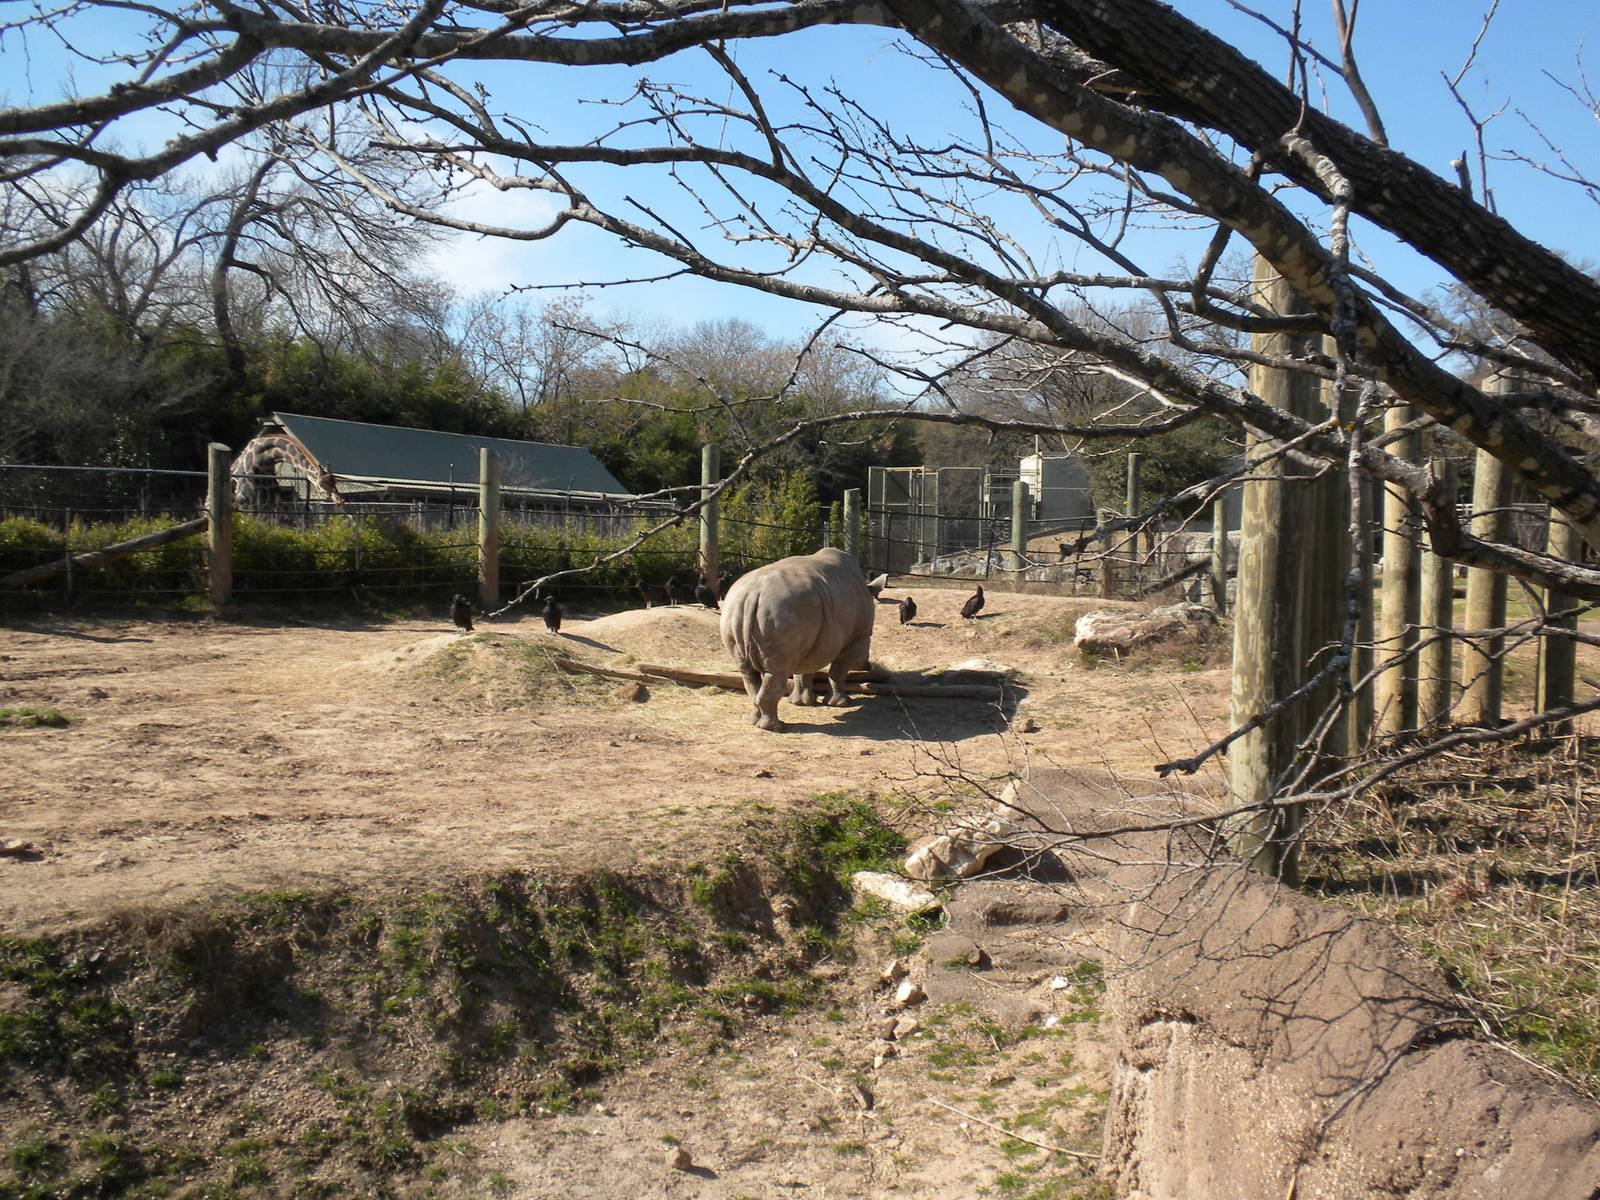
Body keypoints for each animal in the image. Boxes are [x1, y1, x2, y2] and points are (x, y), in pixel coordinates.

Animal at [719, 548, 876, 731]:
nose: (868, 666)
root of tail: (752, 593)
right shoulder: (857, 638)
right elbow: (839, 670)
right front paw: (841, 703)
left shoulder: (809, 639)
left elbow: (804, 670)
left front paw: (802, 702)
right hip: (781, 611)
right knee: (777, 672)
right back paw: (776, 727)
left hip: (736, 608)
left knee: (748, 672)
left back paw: (755, 722)